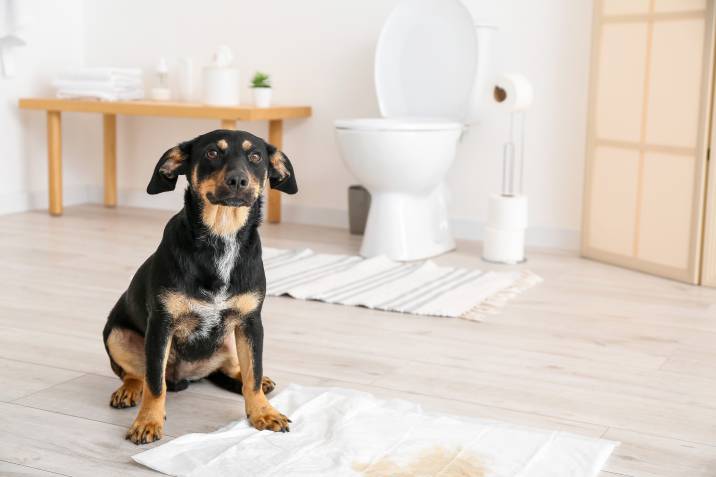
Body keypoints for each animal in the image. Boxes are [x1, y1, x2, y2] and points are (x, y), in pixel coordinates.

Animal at [101, 129, 296, 442]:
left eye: (255, 156)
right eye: (212, 153)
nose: (238, 180)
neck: (222, 235)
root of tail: (186, 377)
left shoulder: (251, 323)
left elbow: (253, 375)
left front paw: (263, 412)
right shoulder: (161, 325)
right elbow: (154, 383)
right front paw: (148, 421)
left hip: (229, 339)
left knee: (234, 370)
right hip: (116, 335)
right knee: (137, 374)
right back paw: (129, 389)